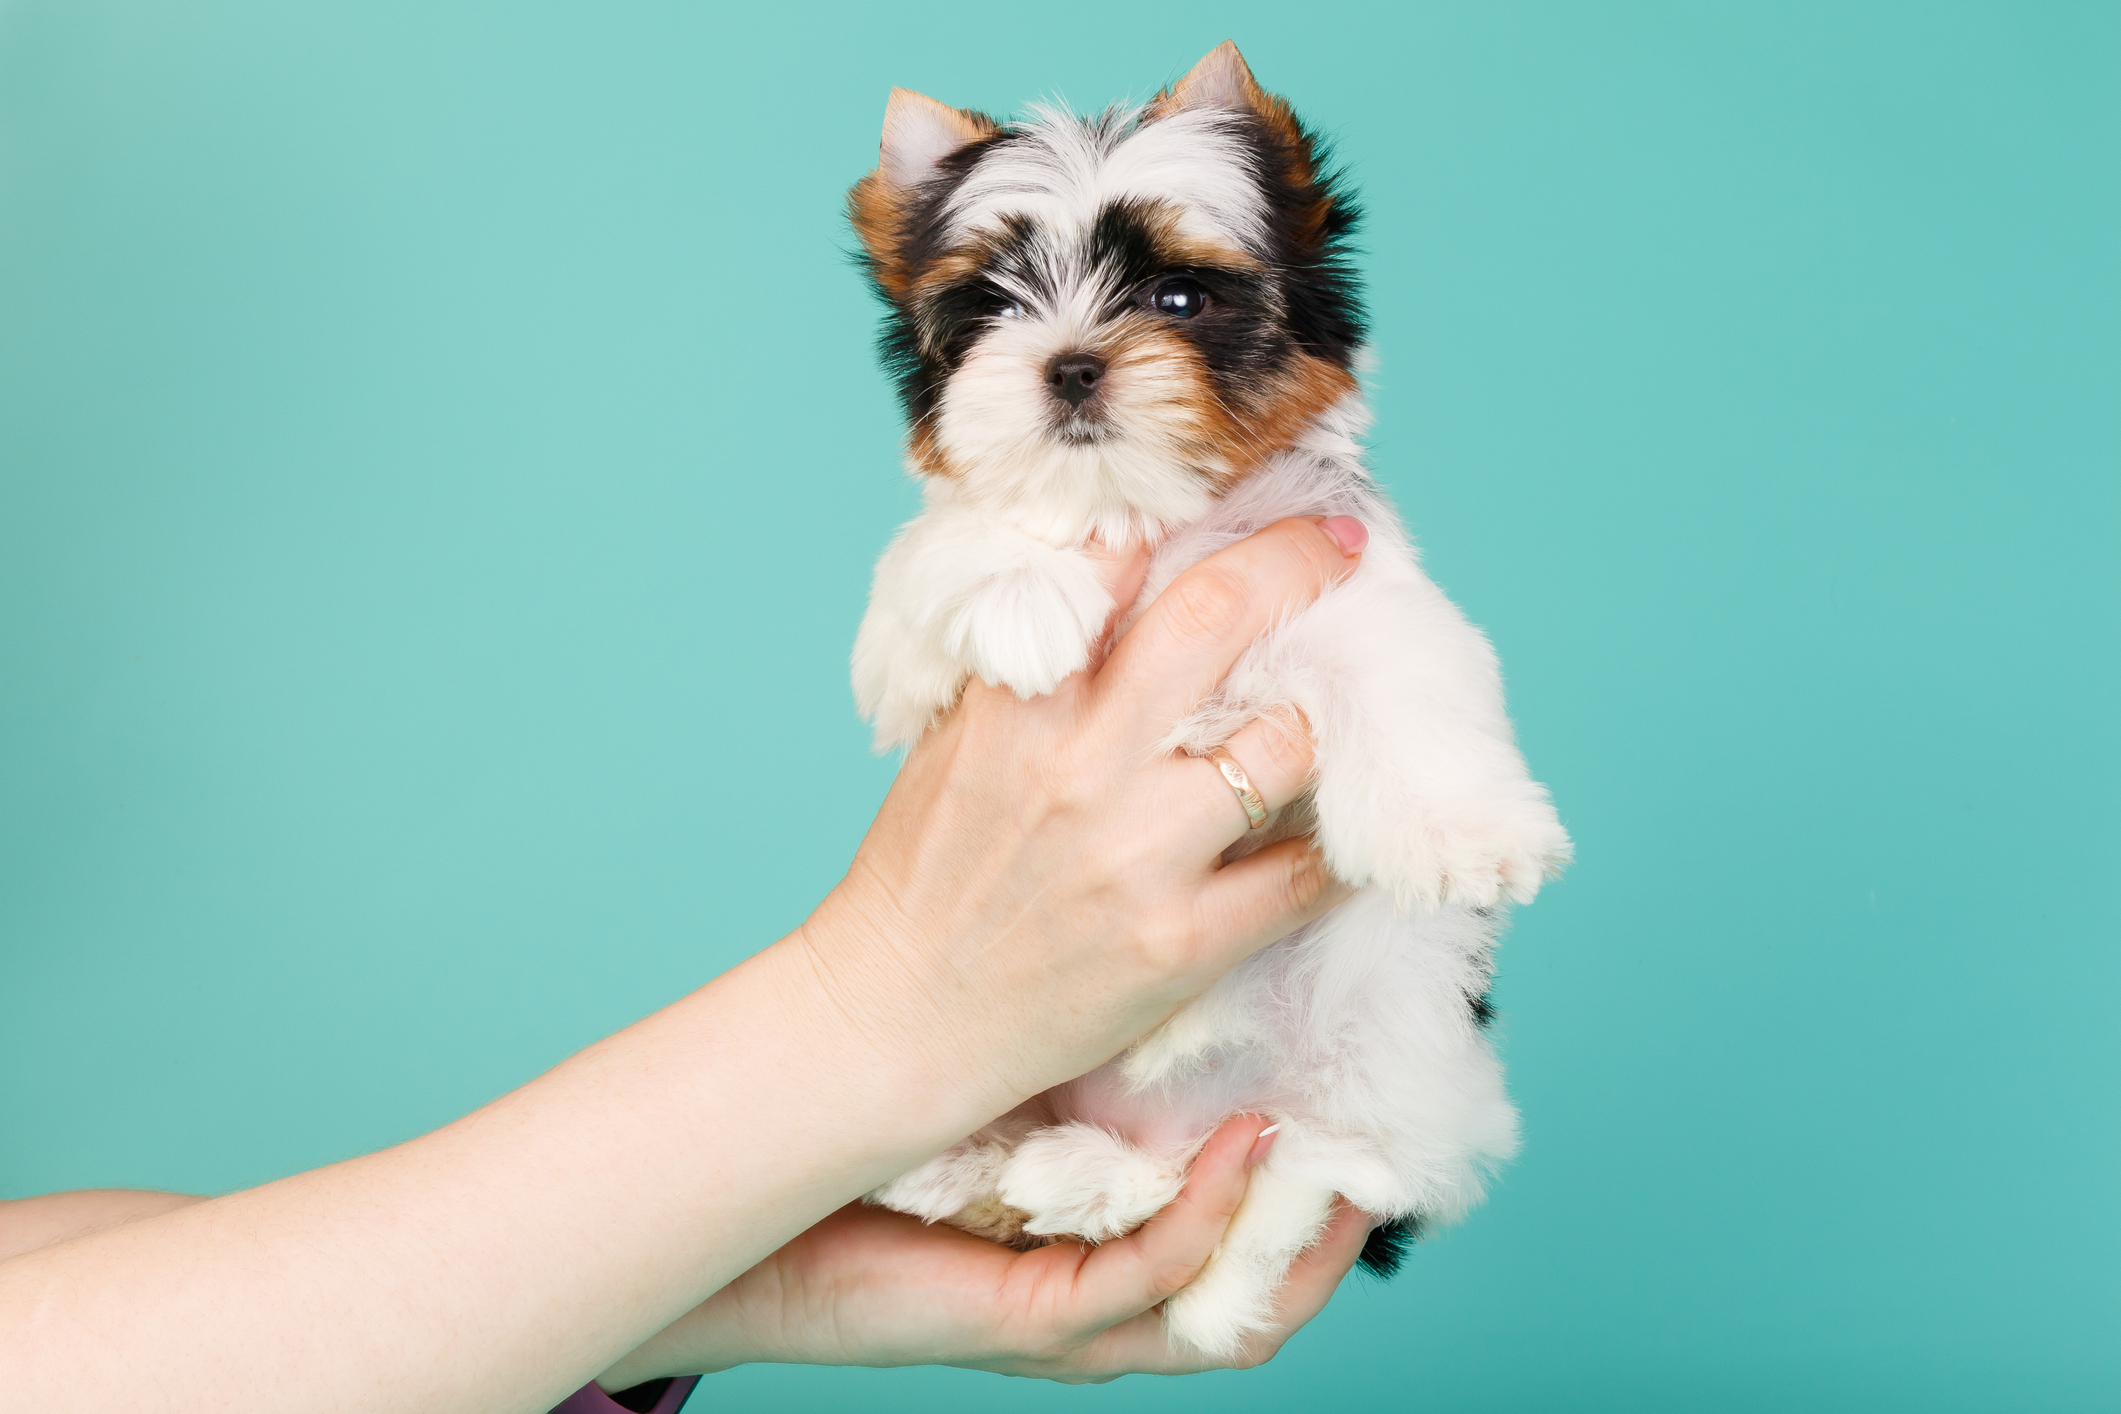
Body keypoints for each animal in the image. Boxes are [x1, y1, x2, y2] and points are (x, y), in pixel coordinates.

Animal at [848, 38, 1578, 1356]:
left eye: (1178, 301)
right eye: (993, 308)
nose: (1068, 365)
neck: (1150, 515)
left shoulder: (1349, 572)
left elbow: (1393, 662)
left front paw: (1462, 830)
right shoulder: (900, 653)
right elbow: (942, 552)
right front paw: (1031, 592)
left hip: (1397, 1071)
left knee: (1274, 1189)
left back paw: (1097, 1179)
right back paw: (994, 1169)